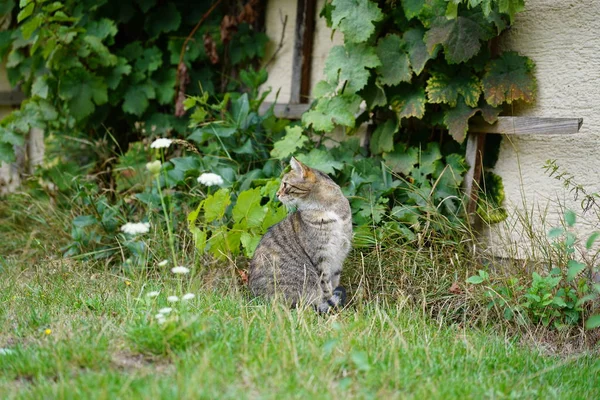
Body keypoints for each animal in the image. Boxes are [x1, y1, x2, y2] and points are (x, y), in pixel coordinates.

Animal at [247, 157, 352, 312]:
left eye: (285, 184)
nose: (277, 194)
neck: (329, 209)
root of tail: (255, 299)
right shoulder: (321, 257)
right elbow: (326, 287)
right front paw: (333, 308)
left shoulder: (340, 254)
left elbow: (334, 282)